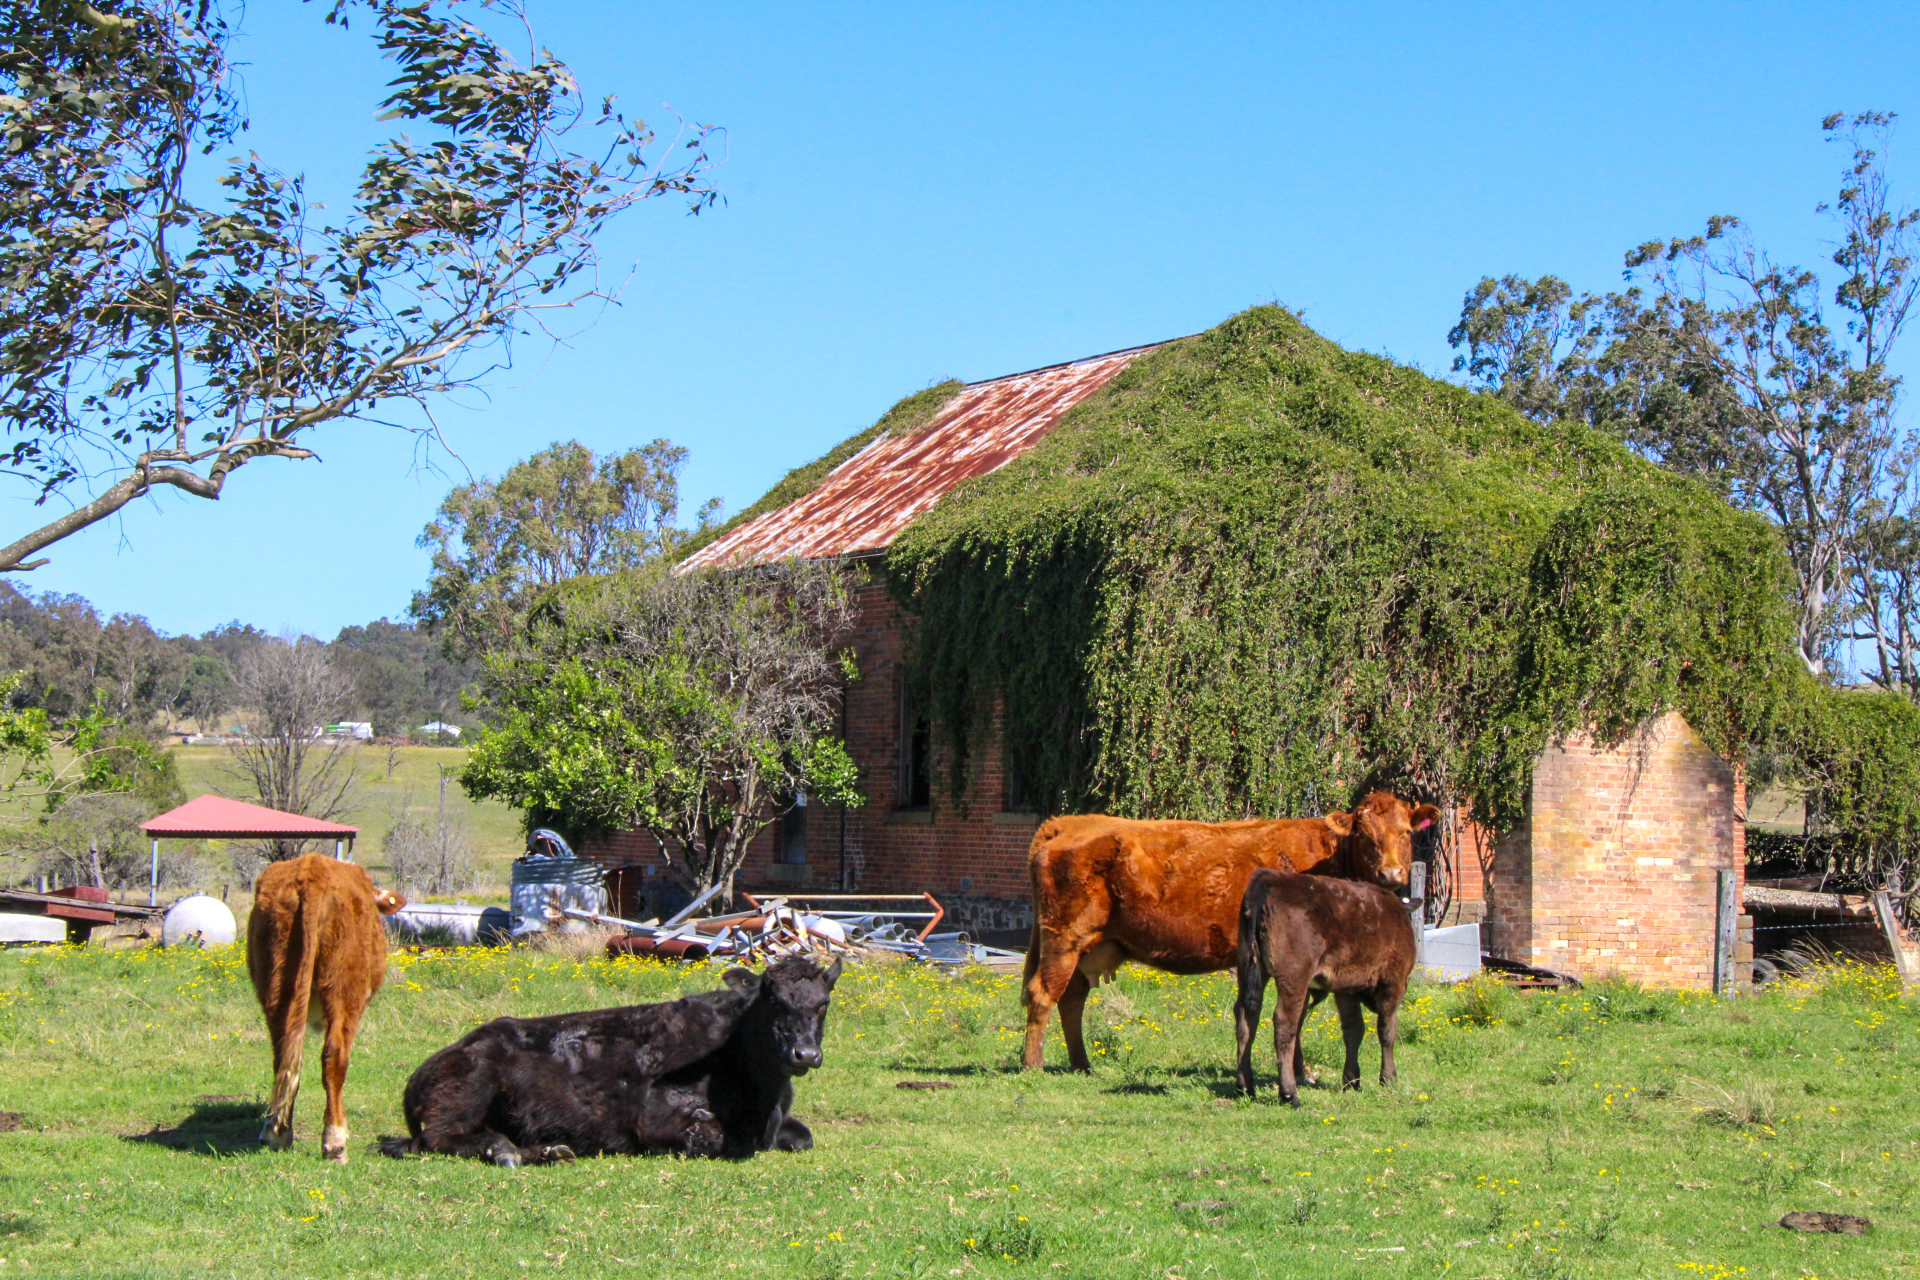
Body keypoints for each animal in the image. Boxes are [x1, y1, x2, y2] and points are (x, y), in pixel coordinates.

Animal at [247, 855, 405, 1166]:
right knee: (334, 1058)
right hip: (344, 994)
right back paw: (335, 1141)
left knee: (283, 1055)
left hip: (276, 988)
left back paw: (277, 1133)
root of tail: (314, 870)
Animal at [382, 955, 840, 1166]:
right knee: (437, 1138)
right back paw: (504, 1150)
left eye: (823, 1004)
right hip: (470, 1087)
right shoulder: (660, 1121)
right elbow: (723, 1141)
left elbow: (804, 1136)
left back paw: (548, 1151)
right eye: (773, 999)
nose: (805, 1054)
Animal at [1029, 790, 1436, 1074]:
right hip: (1064, 938)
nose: (1391, 873)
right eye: (1365, 835)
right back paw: (1033, 1066)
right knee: (1043, 995)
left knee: (1071, 998)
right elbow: (1294, 1017)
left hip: (1088, 946)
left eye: (1405, 833)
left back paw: (1082, 1064)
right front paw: (1301, 1073)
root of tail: (1067, 823)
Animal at [1228, 867, 1413, 1105]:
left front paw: (1351, 1080)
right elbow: (1387, 1030)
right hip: (1294, 976)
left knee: (1246, 1016)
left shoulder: (1346, 988)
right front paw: (1388, 1078)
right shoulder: (1394, 981)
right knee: (1285, 1022)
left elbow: (1354, 1029)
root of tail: (1269, 877)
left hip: (1249, 966)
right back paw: (1289, 1093)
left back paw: (1245, 1087)